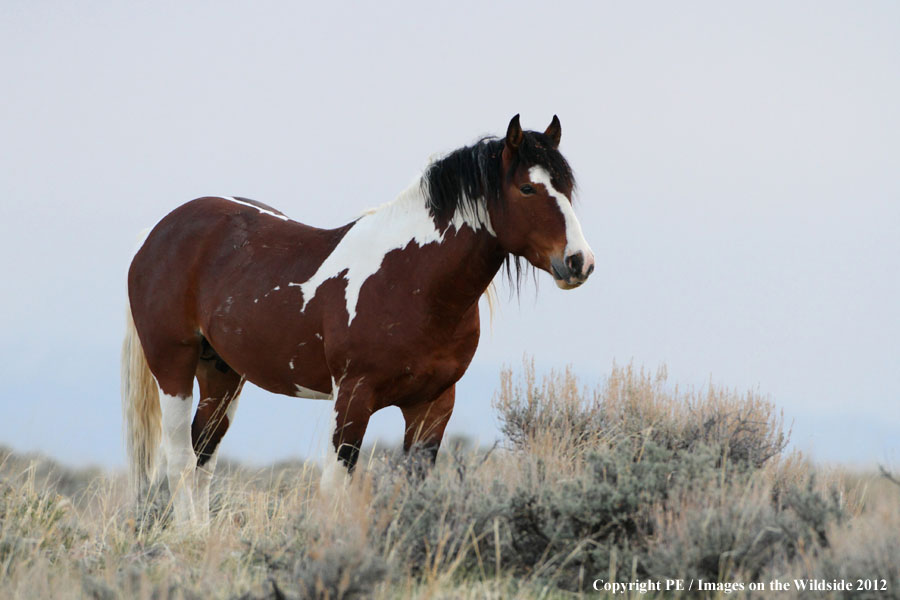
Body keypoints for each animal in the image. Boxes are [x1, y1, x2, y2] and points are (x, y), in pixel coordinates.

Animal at [121, 115, 596, 524]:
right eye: (527, 189)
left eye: (566, 186)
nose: (579, 262)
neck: (411, 279)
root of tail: (157, 235)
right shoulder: (352, 396)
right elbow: (335, 489)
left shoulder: (434, 404)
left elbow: (414, 485)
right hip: (174, 366)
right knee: (180, 460)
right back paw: (190, 539)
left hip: (222, 373)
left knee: (204, 456)